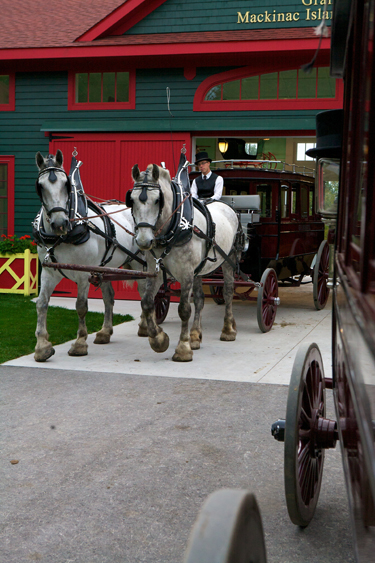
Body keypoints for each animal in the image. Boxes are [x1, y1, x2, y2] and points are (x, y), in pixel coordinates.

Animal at [34, 150, 147, 362]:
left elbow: (81, 306)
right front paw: (42, 346)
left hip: (139, 263)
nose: (59, 223)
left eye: (66, 184)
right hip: (104, 266)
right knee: (109, 296)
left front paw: (79, 343)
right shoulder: (49, 272)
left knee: (145, 292)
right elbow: (42, 304)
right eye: (41, 186)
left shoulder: (83, 274)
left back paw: (145, 325)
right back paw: (105, 331)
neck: (64, 236)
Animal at [128, 165, 242, 364]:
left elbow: (184, 309)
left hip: (229, 259)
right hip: (199, 270)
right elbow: (147, 302)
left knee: (228, 292)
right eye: (132, 200)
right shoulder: (156, 271)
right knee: (200, 299)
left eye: (157, 200)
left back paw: (228, 329)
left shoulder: (186, 272)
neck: (175, 228)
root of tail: (229, 207)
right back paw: (195, 336)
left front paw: (183, 349)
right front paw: (159, 339)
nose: (143, 240)